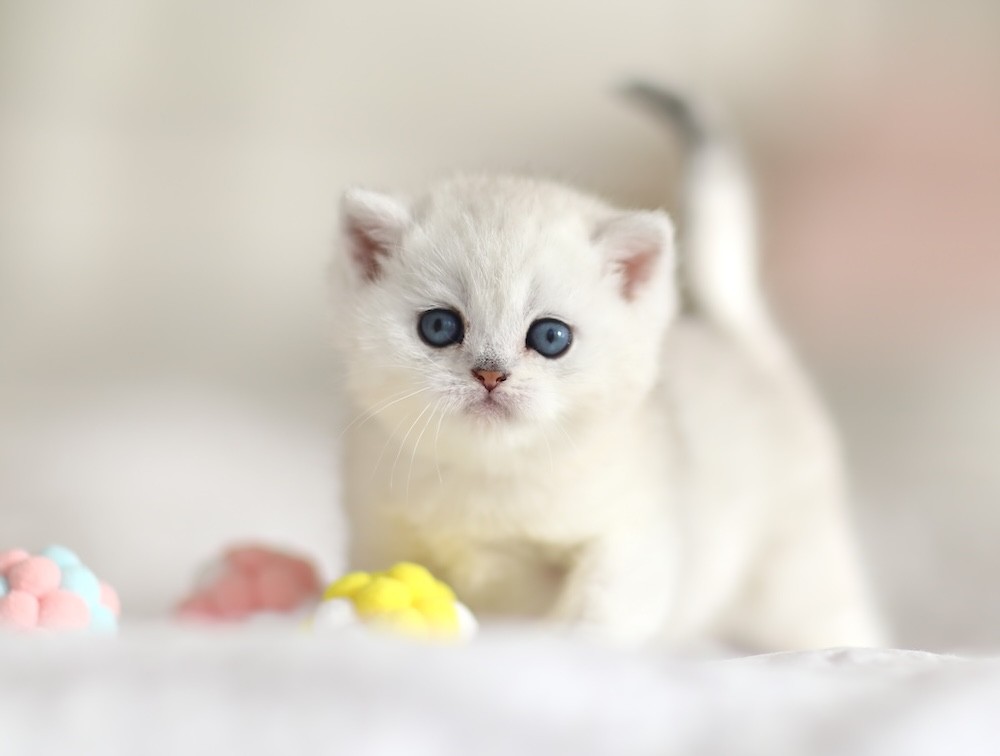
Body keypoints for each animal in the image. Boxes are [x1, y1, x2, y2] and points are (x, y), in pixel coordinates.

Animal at [328, 85, 885, 649]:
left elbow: (596, 621)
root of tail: (735, 335)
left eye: (550, 337)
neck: (491, 477)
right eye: (440, 327)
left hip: (792, 568)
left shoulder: (633, 538)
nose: (489, 374)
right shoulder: (378, 533)